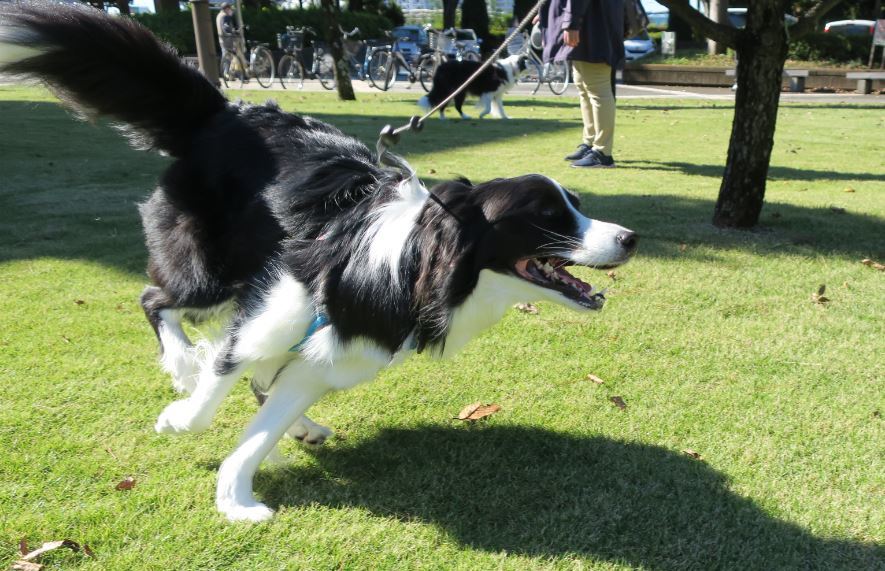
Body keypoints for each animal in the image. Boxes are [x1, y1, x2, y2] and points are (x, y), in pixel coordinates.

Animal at [0, 4, 636, 524]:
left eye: (577, 204)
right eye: (548, 216)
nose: (630, 238)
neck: (408, 265)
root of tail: (223, 113)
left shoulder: (327, 351)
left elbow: (261, 427)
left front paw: (236, 500)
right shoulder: (270, 312)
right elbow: (216, 389)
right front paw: (182, 418)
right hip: (208, 271)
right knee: (156, 299)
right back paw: (182, 364)